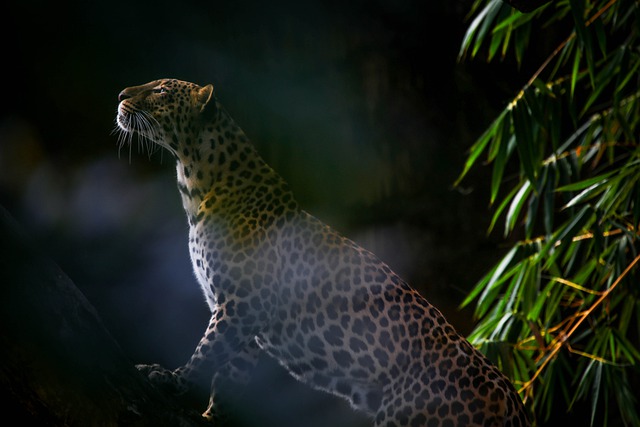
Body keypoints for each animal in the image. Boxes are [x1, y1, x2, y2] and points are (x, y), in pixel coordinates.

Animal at [116, 78, 530, 427]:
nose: (121, 95)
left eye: (161, 91)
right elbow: (231, 372)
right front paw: (212, 417)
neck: (195, 185)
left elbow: (208, 352)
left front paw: (173, 381)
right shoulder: (242, 316)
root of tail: (513, 402)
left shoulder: (241, 303)